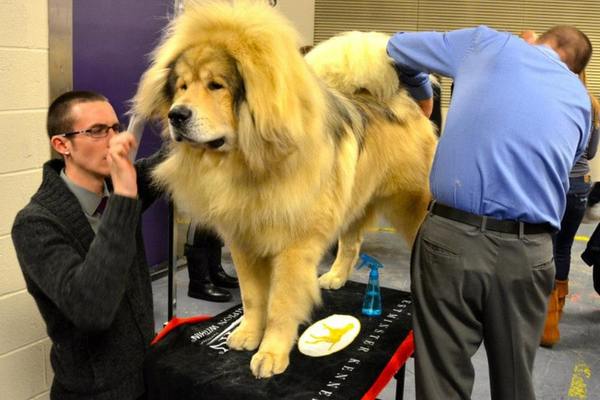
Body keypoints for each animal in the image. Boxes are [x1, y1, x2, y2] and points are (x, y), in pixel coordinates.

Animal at [134, 0, 436, 378]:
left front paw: (271, 353)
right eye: (182, 86)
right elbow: (252, 297)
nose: (176, 114)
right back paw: (335, 277)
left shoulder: (293, 248)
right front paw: (249, 335)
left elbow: (280, 304)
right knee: (351, 243)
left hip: (411, 205)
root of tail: (402, 103)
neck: (249, 163)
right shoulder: (244, 241)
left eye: (216, 86)